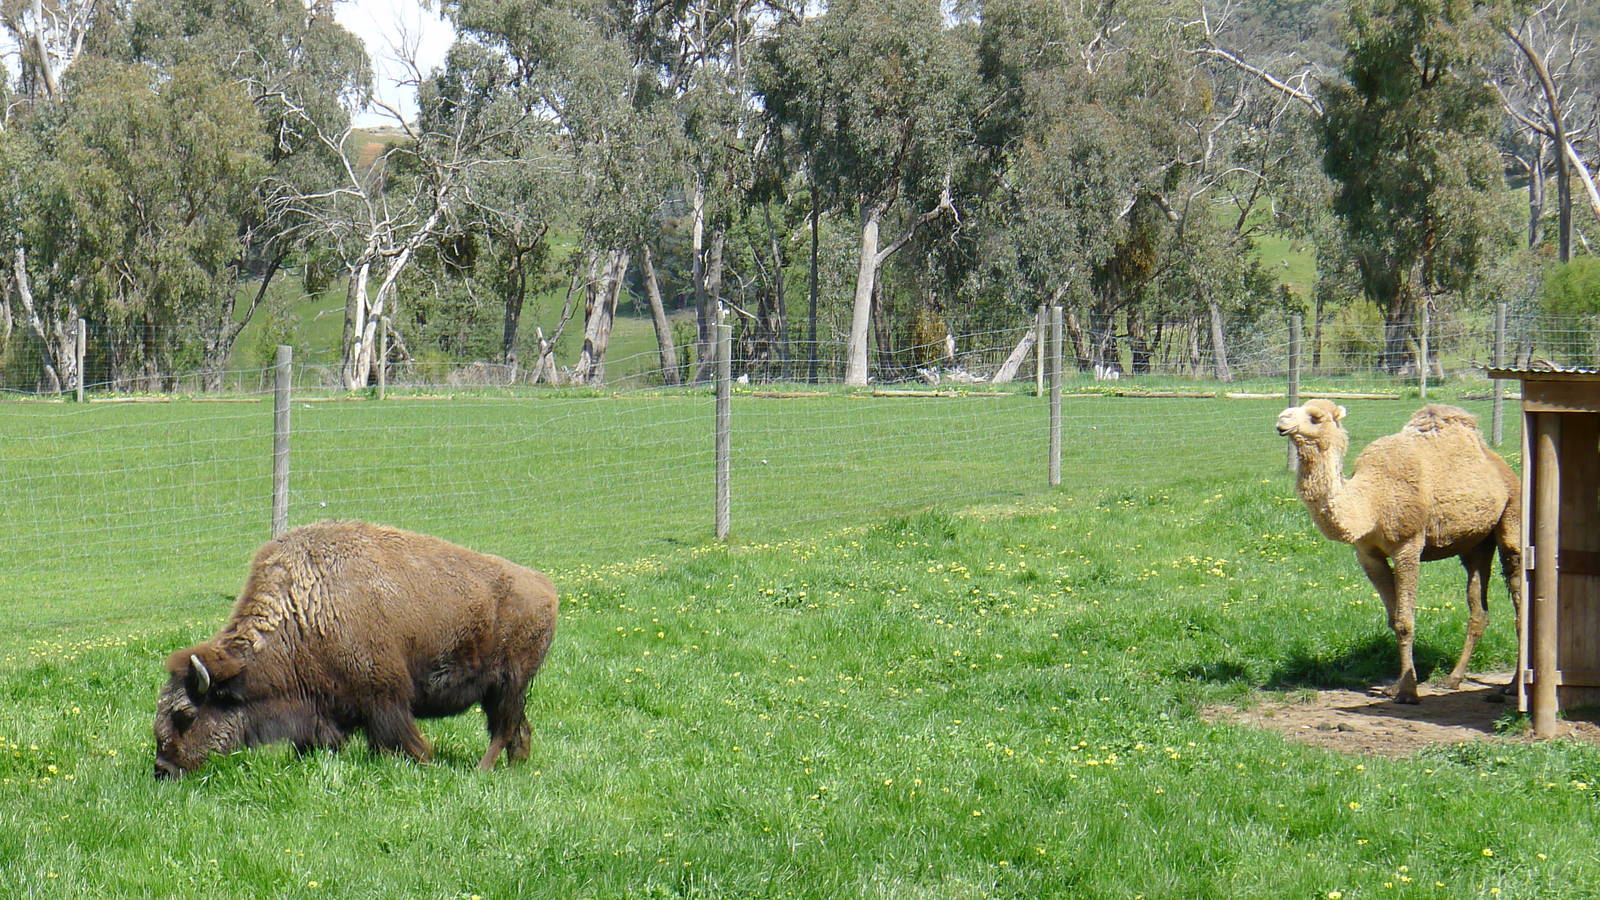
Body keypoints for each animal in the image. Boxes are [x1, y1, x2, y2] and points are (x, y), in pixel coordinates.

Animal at [153, 521, 557, 779]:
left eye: (185, 715)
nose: (163, 769)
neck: (305, 609)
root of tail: (545, 587)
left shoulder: (385, 698)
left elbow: (403, 739)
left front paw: (424, 763)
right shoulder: (323, 708)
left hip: (509, 682)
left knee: (503, 729)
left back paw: (481, 771)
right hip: (502, 691)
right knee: (519, 729)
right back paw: (514, 770)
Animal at [1275, 400, 1522, 704]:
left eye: (1315, 417)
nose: (1282, 420)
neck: (1372, 501)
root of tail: (1501, 465)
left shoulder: (1408, 546)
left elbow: (1405, 620)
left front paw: (1407, 691)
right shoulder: (1368, 554)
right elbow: (1394, 620)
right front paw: (1395, 686)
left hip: (1512, 514)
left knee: (1519, 591)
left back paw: (1513, 686)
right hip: (1476, 543)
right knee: (1479, 607)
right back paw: (1453, 679)